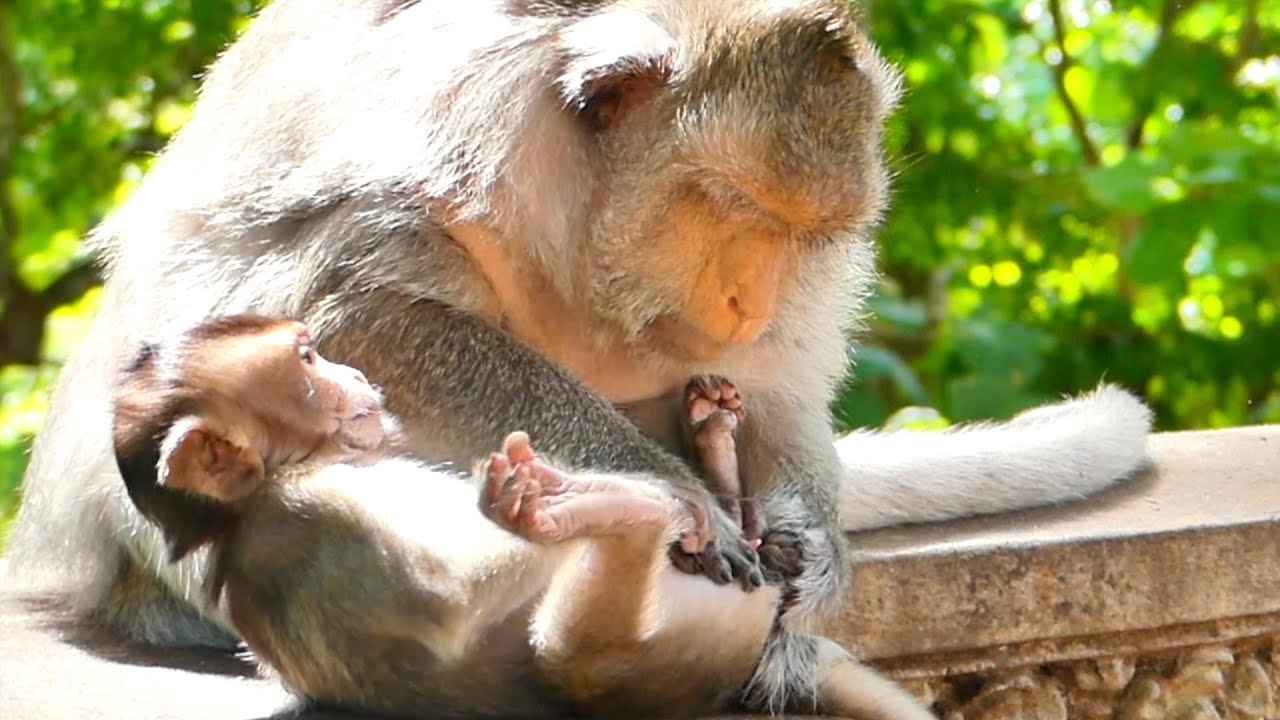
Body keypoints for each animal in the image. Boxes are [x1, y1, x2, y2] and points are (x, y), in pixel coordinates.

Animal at [108, 314, 934, 720]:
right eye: (308, 360)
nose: (353, 371)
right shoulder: (314, 505)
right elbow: (444, 600)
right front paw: (642, 498)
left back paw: (713, 456)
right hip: (622, 672)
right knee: (574, 652)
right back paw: (627, 509)